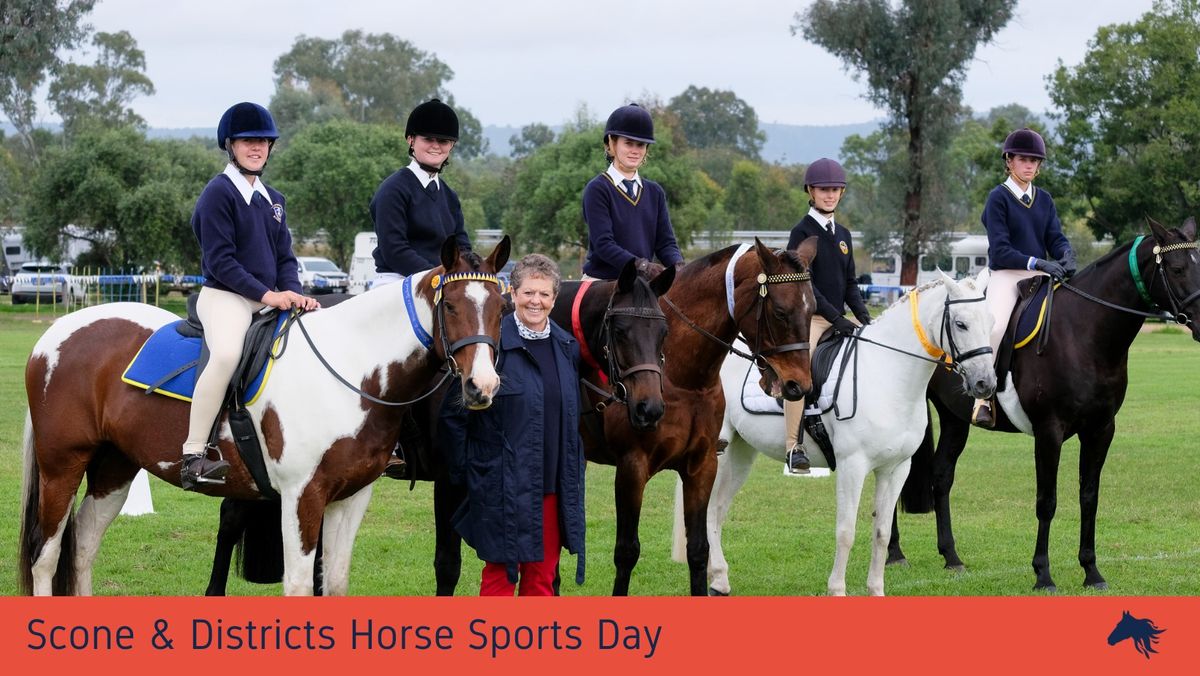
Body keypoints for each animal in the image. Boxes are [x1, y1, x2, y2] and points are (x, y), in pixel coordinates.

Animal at [21, 235, 511, 595]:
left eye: (501, 309)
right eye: (451, 306)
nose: (482, 387)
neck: (351, 366)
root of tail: (56, 333)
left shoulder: (352, 496)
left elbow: (334, 583)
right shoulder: (302, 496)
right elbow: (299, 586)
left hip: (115, 466)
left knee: (83, 545)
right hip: (62, 465)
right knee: (46, 557)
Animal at [200, 259, 672, 597]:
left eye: (663, 330)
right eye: (620, 329)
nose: (649, 408)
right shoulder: (448, 480)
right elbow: (449, 564)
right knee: (230, 520)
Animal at [549, 238, 816, 597]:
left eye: (812, 309)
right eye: (780, 312)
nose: (798, 386)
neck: (684, 379)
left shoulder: (701, 465)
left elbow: (698, 549)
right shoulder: (632, 467)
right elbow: (627, 551)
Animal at [892, 218, 1200, 593]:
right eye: (1177, 268)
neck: (1084, 334)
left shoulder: (1101, 430)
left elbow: (1089, 497)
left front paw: (1092, 571)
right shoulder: (1048, 431)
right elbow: (1047, 501)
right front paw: (1043, 574)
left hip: (955, 418)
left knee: (941, 475)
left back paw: (952, 557)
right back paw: (894, 554)